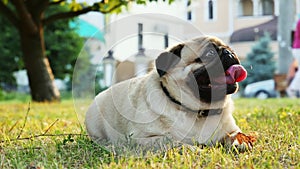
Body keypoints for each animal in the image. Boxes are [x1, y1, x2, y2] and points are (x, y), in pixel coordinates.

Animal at [85, 35, 254, 149]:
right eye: (210, 54)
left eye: (231, 49)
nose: (229, 53)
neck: (199, 111)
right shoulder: (143, 139)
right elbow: (173, 142)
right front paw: (196, 150)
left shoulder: (231, 129)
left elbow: (236, 134)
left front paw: (242, 141)